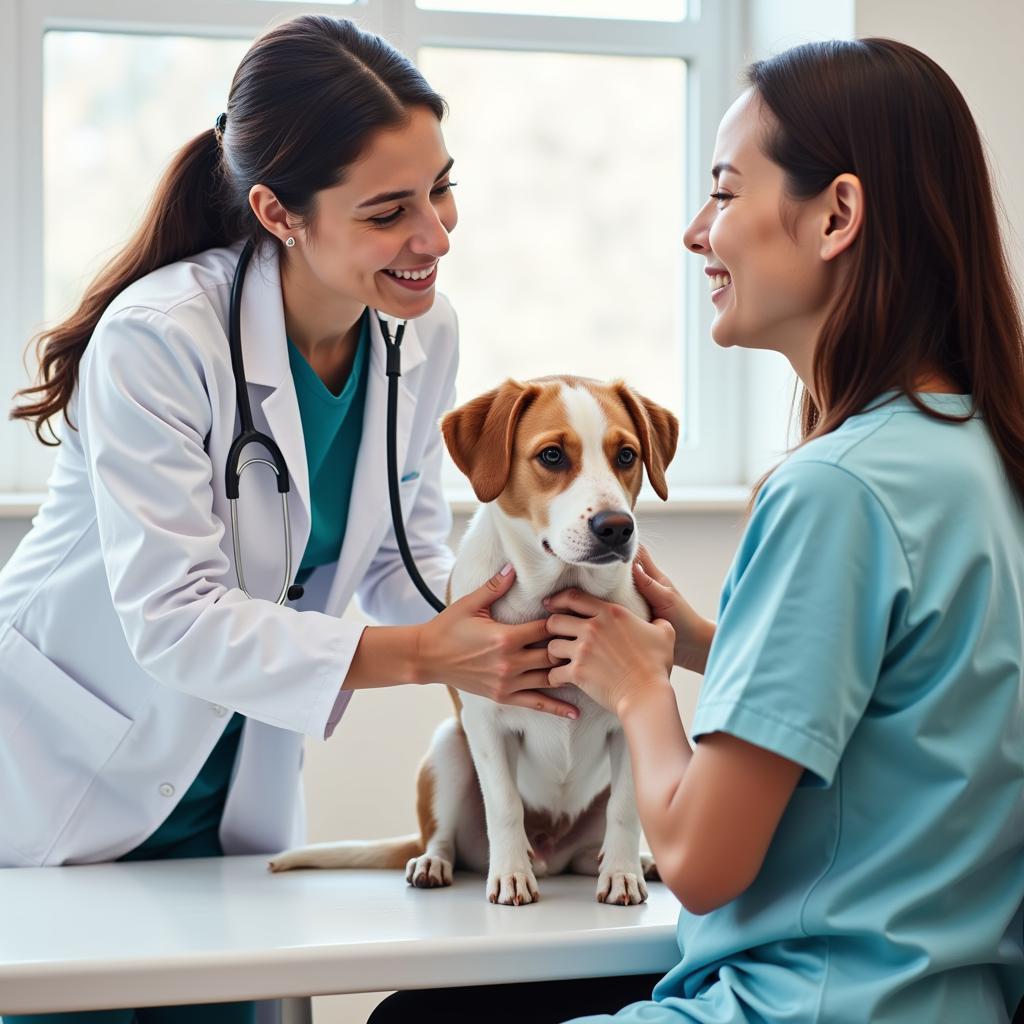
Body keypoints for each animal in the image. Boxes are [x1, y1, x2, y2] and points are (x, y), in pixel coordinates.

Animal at [270, 376, 679, 905]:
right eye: (551, 456)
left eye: (626, 455)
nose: (616, 527)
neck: (557, 595)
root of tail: (553, 856)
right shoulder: (485, 724)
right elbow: (504, 805)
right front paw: (510, 875)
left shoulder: (629, 726)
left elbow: (626, 809)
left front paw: (624, 873)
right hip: (449, 748)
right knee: (442, 836)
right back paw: (436, 863)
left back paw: (630, 863)